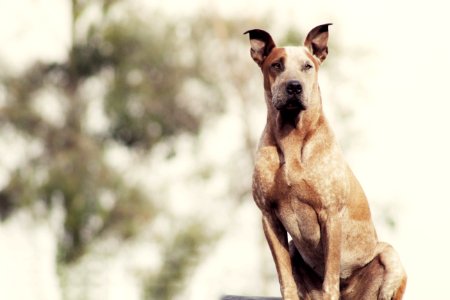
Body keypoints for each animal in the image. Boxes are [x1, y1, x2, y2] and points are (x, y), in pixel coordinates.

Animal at [246, 24, 408, 298]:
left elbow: (330, 279)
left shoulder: (330, 215)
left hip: (391, 259)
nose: (294, 87)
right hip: (293, 248)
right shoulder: (268, 217)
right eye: (276, 65)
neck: (292, 136)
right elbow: (285, 279)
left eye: (307, 66)